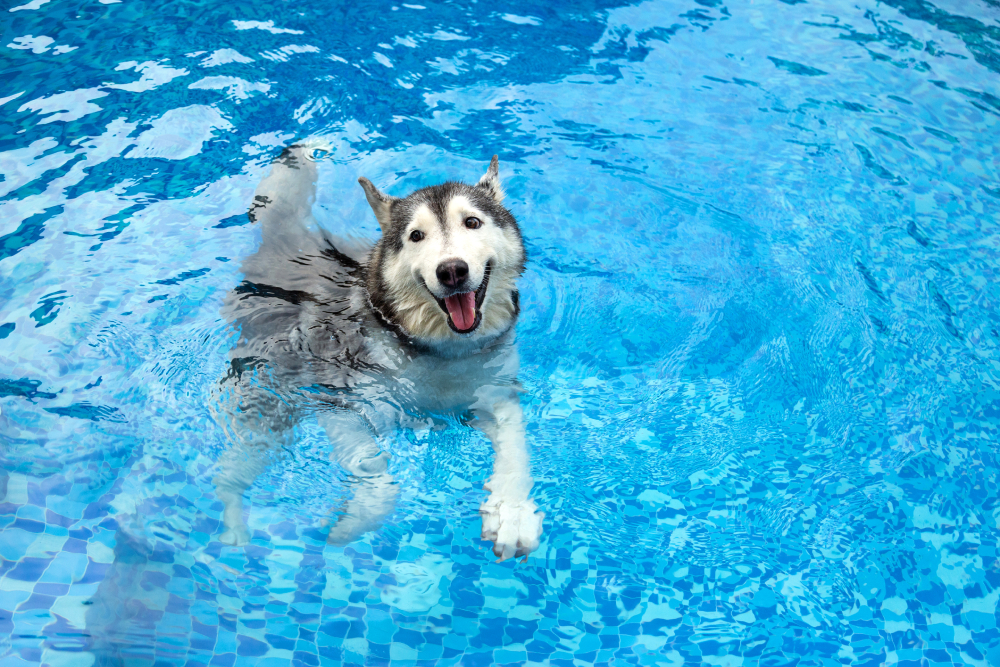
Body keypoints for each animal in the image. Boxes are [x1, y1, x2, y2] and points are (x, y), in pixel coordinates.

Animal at [209, 144, 540, 560]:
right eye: (416, 235)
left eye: (472, 222)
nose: (452, 271)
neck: (440, 349)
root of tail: (296, 241)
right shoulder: (336, 398)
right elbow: (376, 468)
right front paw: (356, 518)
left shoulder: (496, 394)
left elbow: (516, 445)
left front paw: (512, 511)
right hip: (270, 408)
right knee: (233, 468)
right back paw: (232, 522)